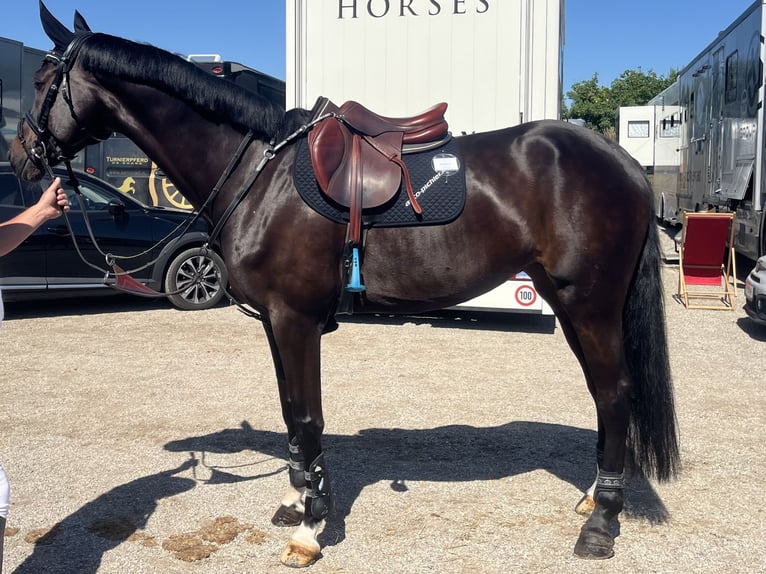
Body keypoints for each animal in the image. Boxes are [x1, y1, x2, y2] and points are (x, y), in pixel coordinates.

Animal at [10, 4, 679, 568]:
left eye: (42, 79)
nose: (21, 159)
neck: (261, 172)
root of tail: (620, 161)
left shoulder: (295, 318)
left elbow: (307, 416)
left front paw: (311, 529)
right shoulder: (276, 322)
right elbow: (290, 412)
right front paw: (298, 500)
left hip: (588, 303)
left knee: (614, 392)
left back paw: (601, 525)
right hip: (573, 305)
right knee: (603, 394)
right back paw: (592, 497)